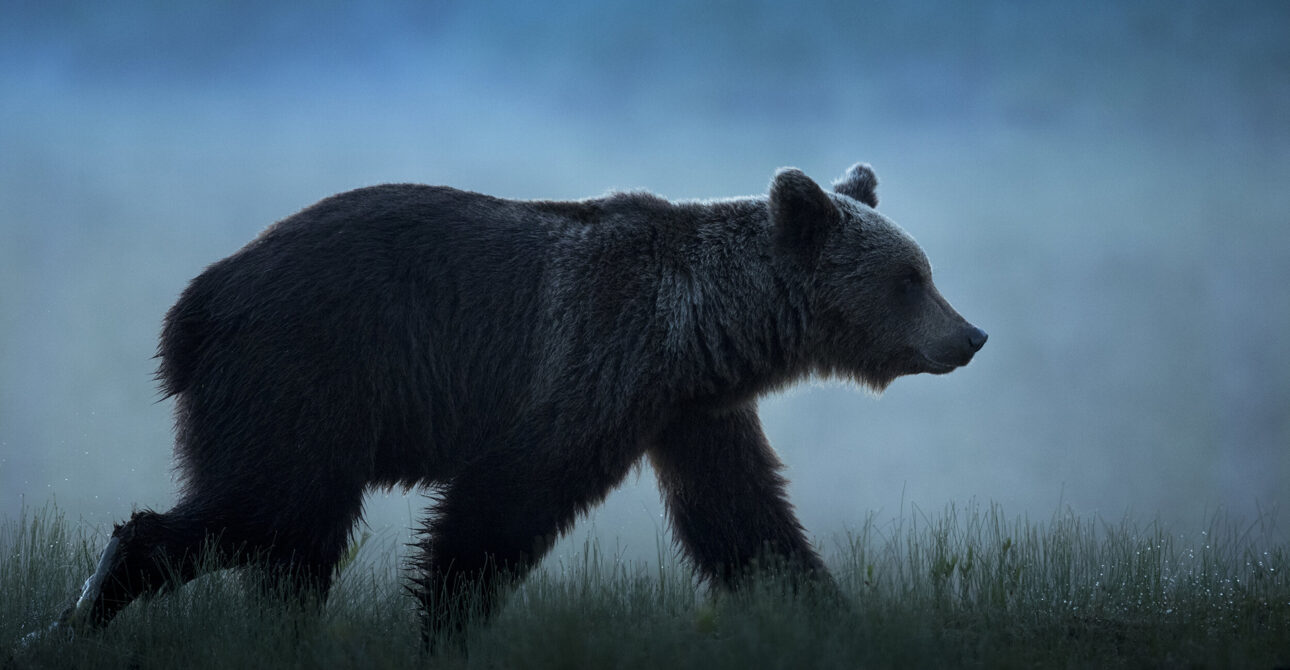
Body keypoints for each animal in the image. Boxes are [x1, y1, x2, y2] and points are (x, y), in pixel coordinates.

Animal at [56, 163, 986, 645]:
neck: (702, 327)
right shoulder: (592, 366)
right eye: (911, 278)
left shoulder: (690, 412)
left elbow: (744, 521)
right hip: (303, 373)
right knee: (268, 508)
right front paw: (446, 625)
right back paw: (90, 605)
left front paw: (825, 611)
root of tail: (195, 305)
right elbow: (498, 508)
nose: (970, 335)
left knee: (294, 542)